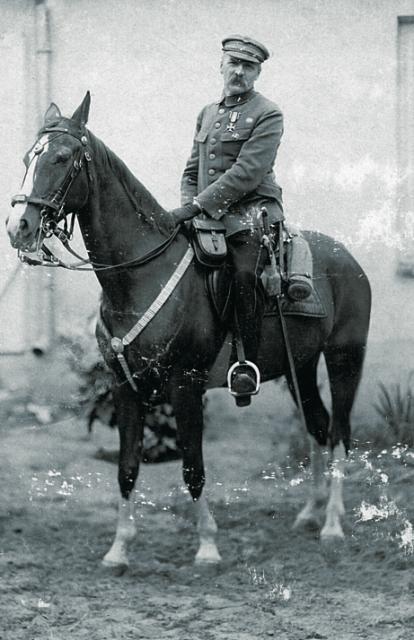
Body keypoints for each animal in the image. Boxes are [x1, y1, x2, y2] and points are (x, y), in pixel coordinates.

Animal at [6, 93, 371, 571]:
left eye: (62, 157)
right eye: (28, 157)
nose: (18, 228)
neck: (141, 274)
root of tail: (346, 256)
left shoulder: (185, 385)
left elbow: (193, 467)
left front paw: (208, 546)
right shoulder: (125, 387)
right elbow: (127, 467)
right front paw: (119, 549)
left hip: (345, 358)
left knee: (341, 433)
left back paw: (332, 523)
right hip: (301, 368)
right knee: (318, 428)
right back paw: (311, 512)